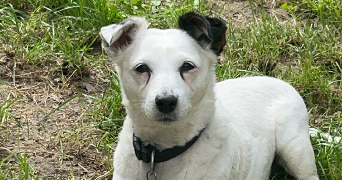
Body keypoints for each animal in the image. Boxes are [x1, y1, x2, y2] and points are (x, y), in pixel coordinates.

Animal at [99, 11, 318, 179]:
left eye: (187, 66)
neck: (161, 152)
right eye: (141, 68)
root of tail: (279, 81)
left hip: (294, 150)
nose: (166, 102)